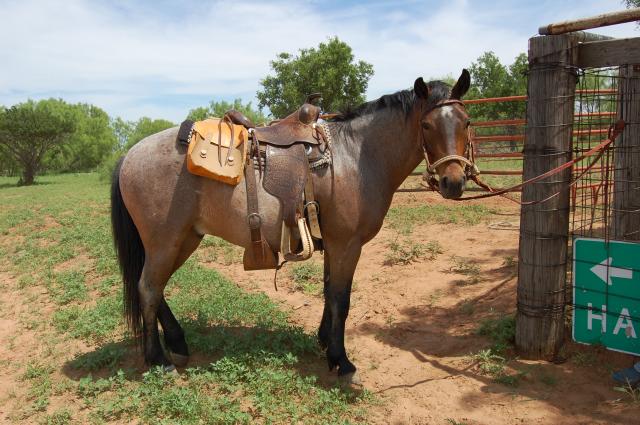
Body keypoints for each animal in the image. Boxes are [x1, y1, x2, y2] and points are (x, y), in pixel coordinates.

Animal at [110, 69, 472, 380]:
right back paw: (159, 360)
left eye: (466, 122)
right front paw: (341, 360)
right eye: (427, 125)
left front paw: (326, 342)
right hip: (165, 242)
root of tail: (128, 155)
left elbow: (329, 292)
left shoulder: (334, 245)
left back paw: (178, 343)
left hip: (184, 239)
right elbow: (341, 298)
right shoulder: (347, 244)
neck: (355, 157)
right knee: (148, 288)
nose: (453, 182)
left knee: (155, 288)